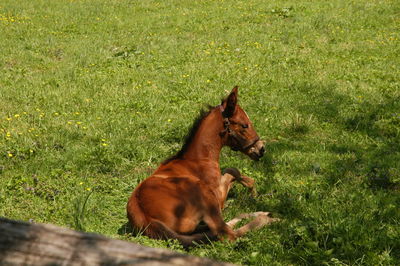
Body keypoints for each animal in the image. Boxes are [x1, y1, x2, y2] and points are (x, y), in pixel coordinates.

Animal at [127, 87, 278, 247]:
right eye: (244, 125)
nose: (261, 149)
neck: (198, 159)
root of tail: (146, 218)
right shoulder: (218, 197)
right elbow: (231, 171)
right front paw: (252, 188)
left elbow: (230, 171)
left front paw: (251, 189)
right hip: (205, 196)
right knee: (227, 233)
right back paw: (267, 218)